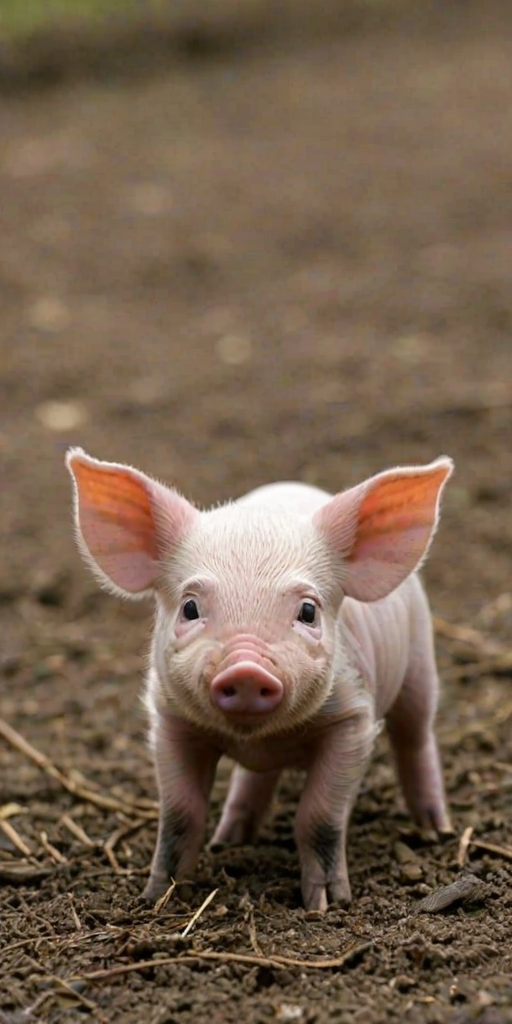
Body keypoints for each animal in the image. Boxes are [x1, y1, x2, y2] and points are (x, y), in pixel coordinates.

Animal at [66, 448, 453, 911]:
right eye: (190, 607)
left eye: (308, 612)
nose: (247, 669)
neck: (259, 737)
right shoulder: (170, 719)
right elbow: (180, 814)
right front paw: (157, 895)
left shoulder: (353, 720)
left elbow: (319, 817)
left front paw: (326, 904)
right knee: (255, 778)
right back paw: (229, 840)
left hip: (420, 662)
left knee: (415, 737)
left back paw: (437, 829)